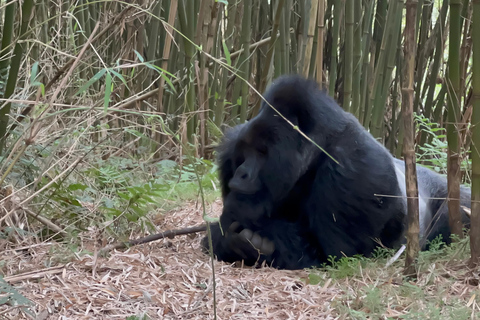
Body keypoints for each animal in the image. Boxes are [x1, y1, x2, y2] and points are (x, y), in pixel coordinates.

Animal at [202, 75, 468, 270]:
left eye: (262, 152)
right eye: (245, 152)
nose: (241, 174)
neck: (318, 147)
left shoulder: (355, 170)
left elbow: (334, 254)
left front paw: (240, 223)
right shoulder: (230, 147)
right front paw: (231, 239)